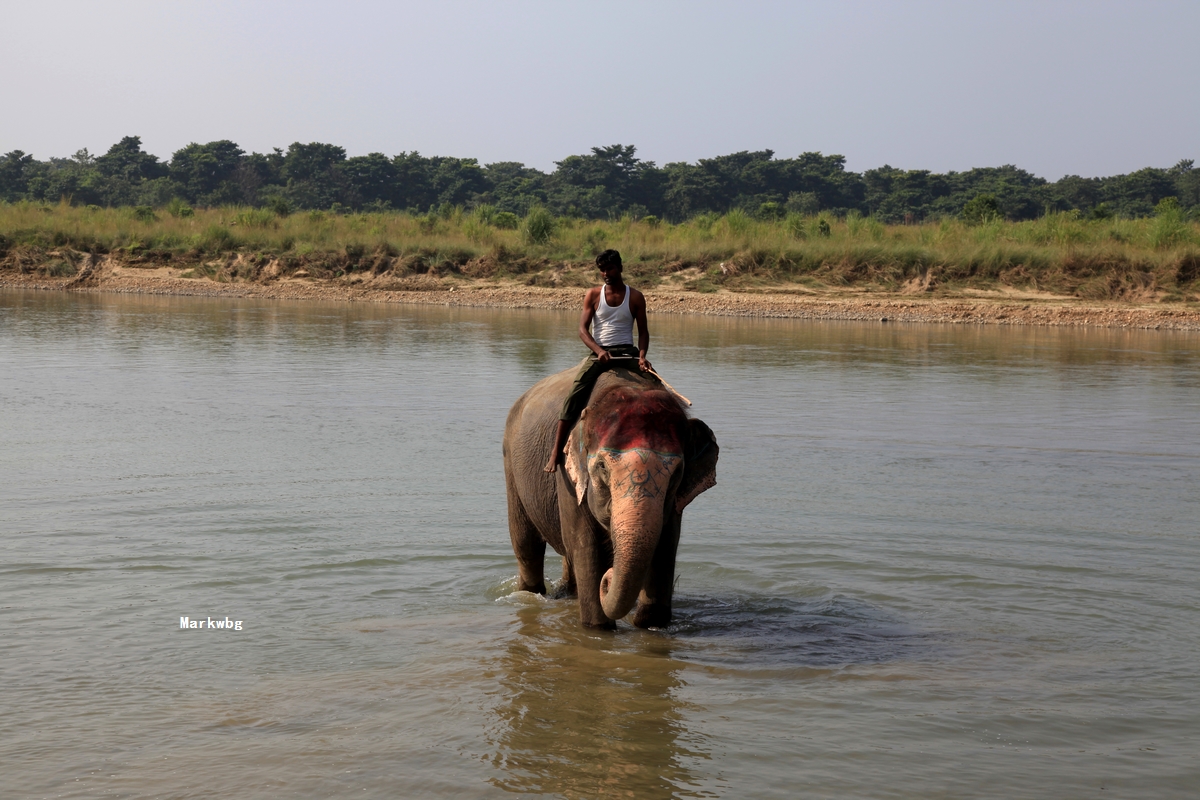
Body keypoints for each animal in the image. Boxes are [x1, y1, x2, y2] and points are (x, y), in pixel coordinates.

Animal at [501, 364, 715, 633]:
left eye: (676, 473)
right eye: (602, 466)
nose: (609, 577)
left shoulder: (675, 501)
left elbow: (667, 543)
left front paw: (651, 624)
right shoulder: (567, 476)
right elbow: (586, 545)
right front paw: (597, 629)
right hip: (511, 465)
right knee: (527, 545)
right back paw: (532, 594)